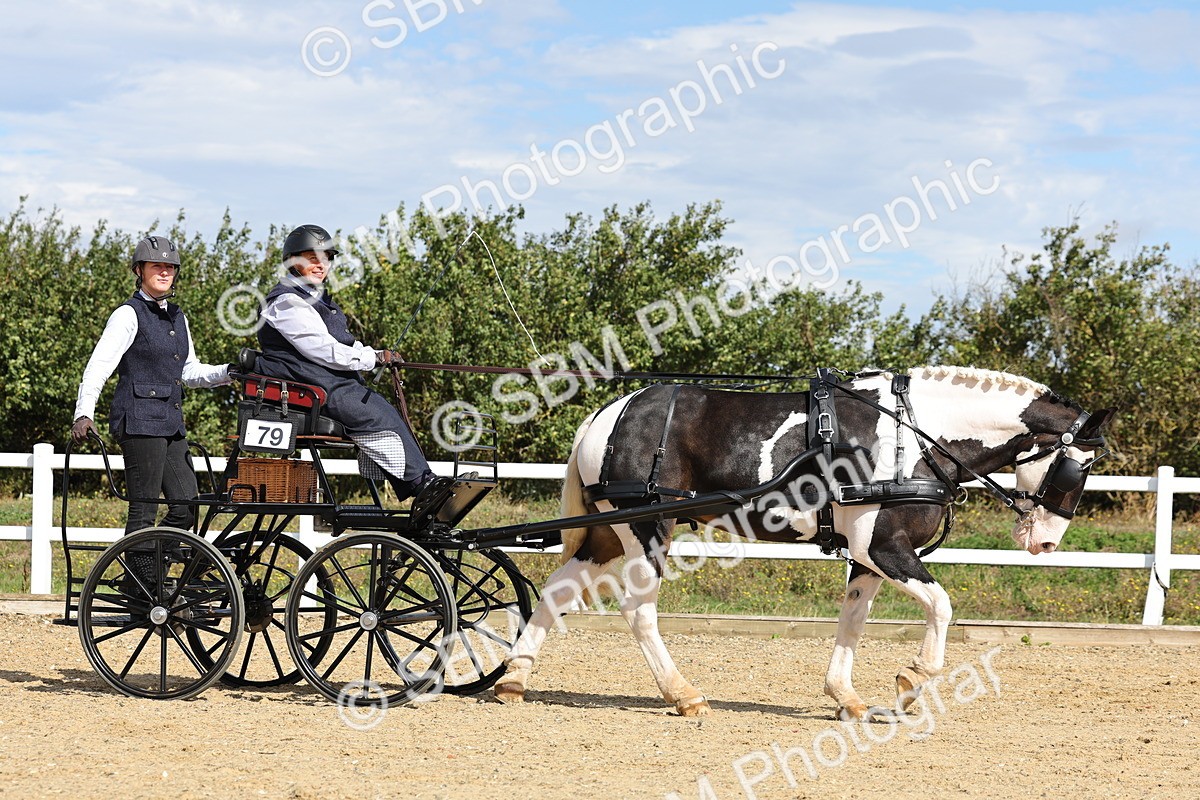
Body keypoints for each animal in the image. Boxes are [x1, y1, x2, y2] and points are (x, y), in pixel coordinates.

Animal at [493, 366, 1115, 719]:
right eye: (1078, 468)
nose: (1046, 543)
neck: (910, 436)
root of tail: (609, 413)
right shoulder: (884, 550)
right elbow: (941, 605)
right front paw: (913, 680)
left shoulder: (867, 558)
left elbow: (853, 622)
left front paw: (847, 697)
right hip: (647, 530)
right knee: (638, 610)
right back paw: (683, 694)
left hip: (605, 533)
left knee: (556, 590)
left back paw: (515, 679)